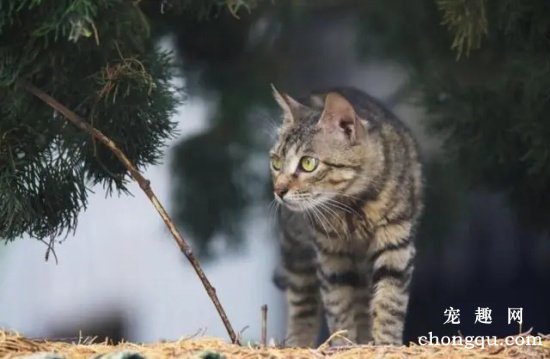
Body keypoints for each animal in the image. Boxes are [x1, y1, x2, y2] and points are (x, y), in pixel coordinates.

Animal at [270, 86, 422, 348]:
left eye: (308, 163)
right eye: (276, 162)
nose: (278, 190)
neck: (353, 205)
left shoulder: (396, 242)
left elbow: (389, 302)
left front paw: (386, 345)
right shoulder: (330, 254)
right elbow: (338, 305)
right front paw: (343, 345)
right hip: (296, 250)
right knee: (303, 304)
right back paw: (299, 342)